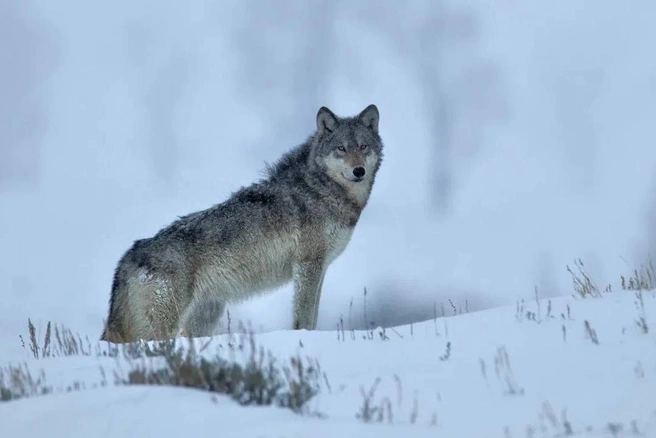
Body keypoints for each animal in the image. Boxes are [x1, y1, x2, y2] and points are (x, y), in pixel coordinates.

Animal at [100, 103, 382, 342]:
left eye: (363, 147)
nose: (358, 171)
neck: (322, 189)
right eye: (341, 149)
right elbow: (304, 318)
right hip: (159, 327)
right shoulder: (307, 265)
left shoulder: (320, 268)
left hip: (204, 316)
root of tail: (129, 256)